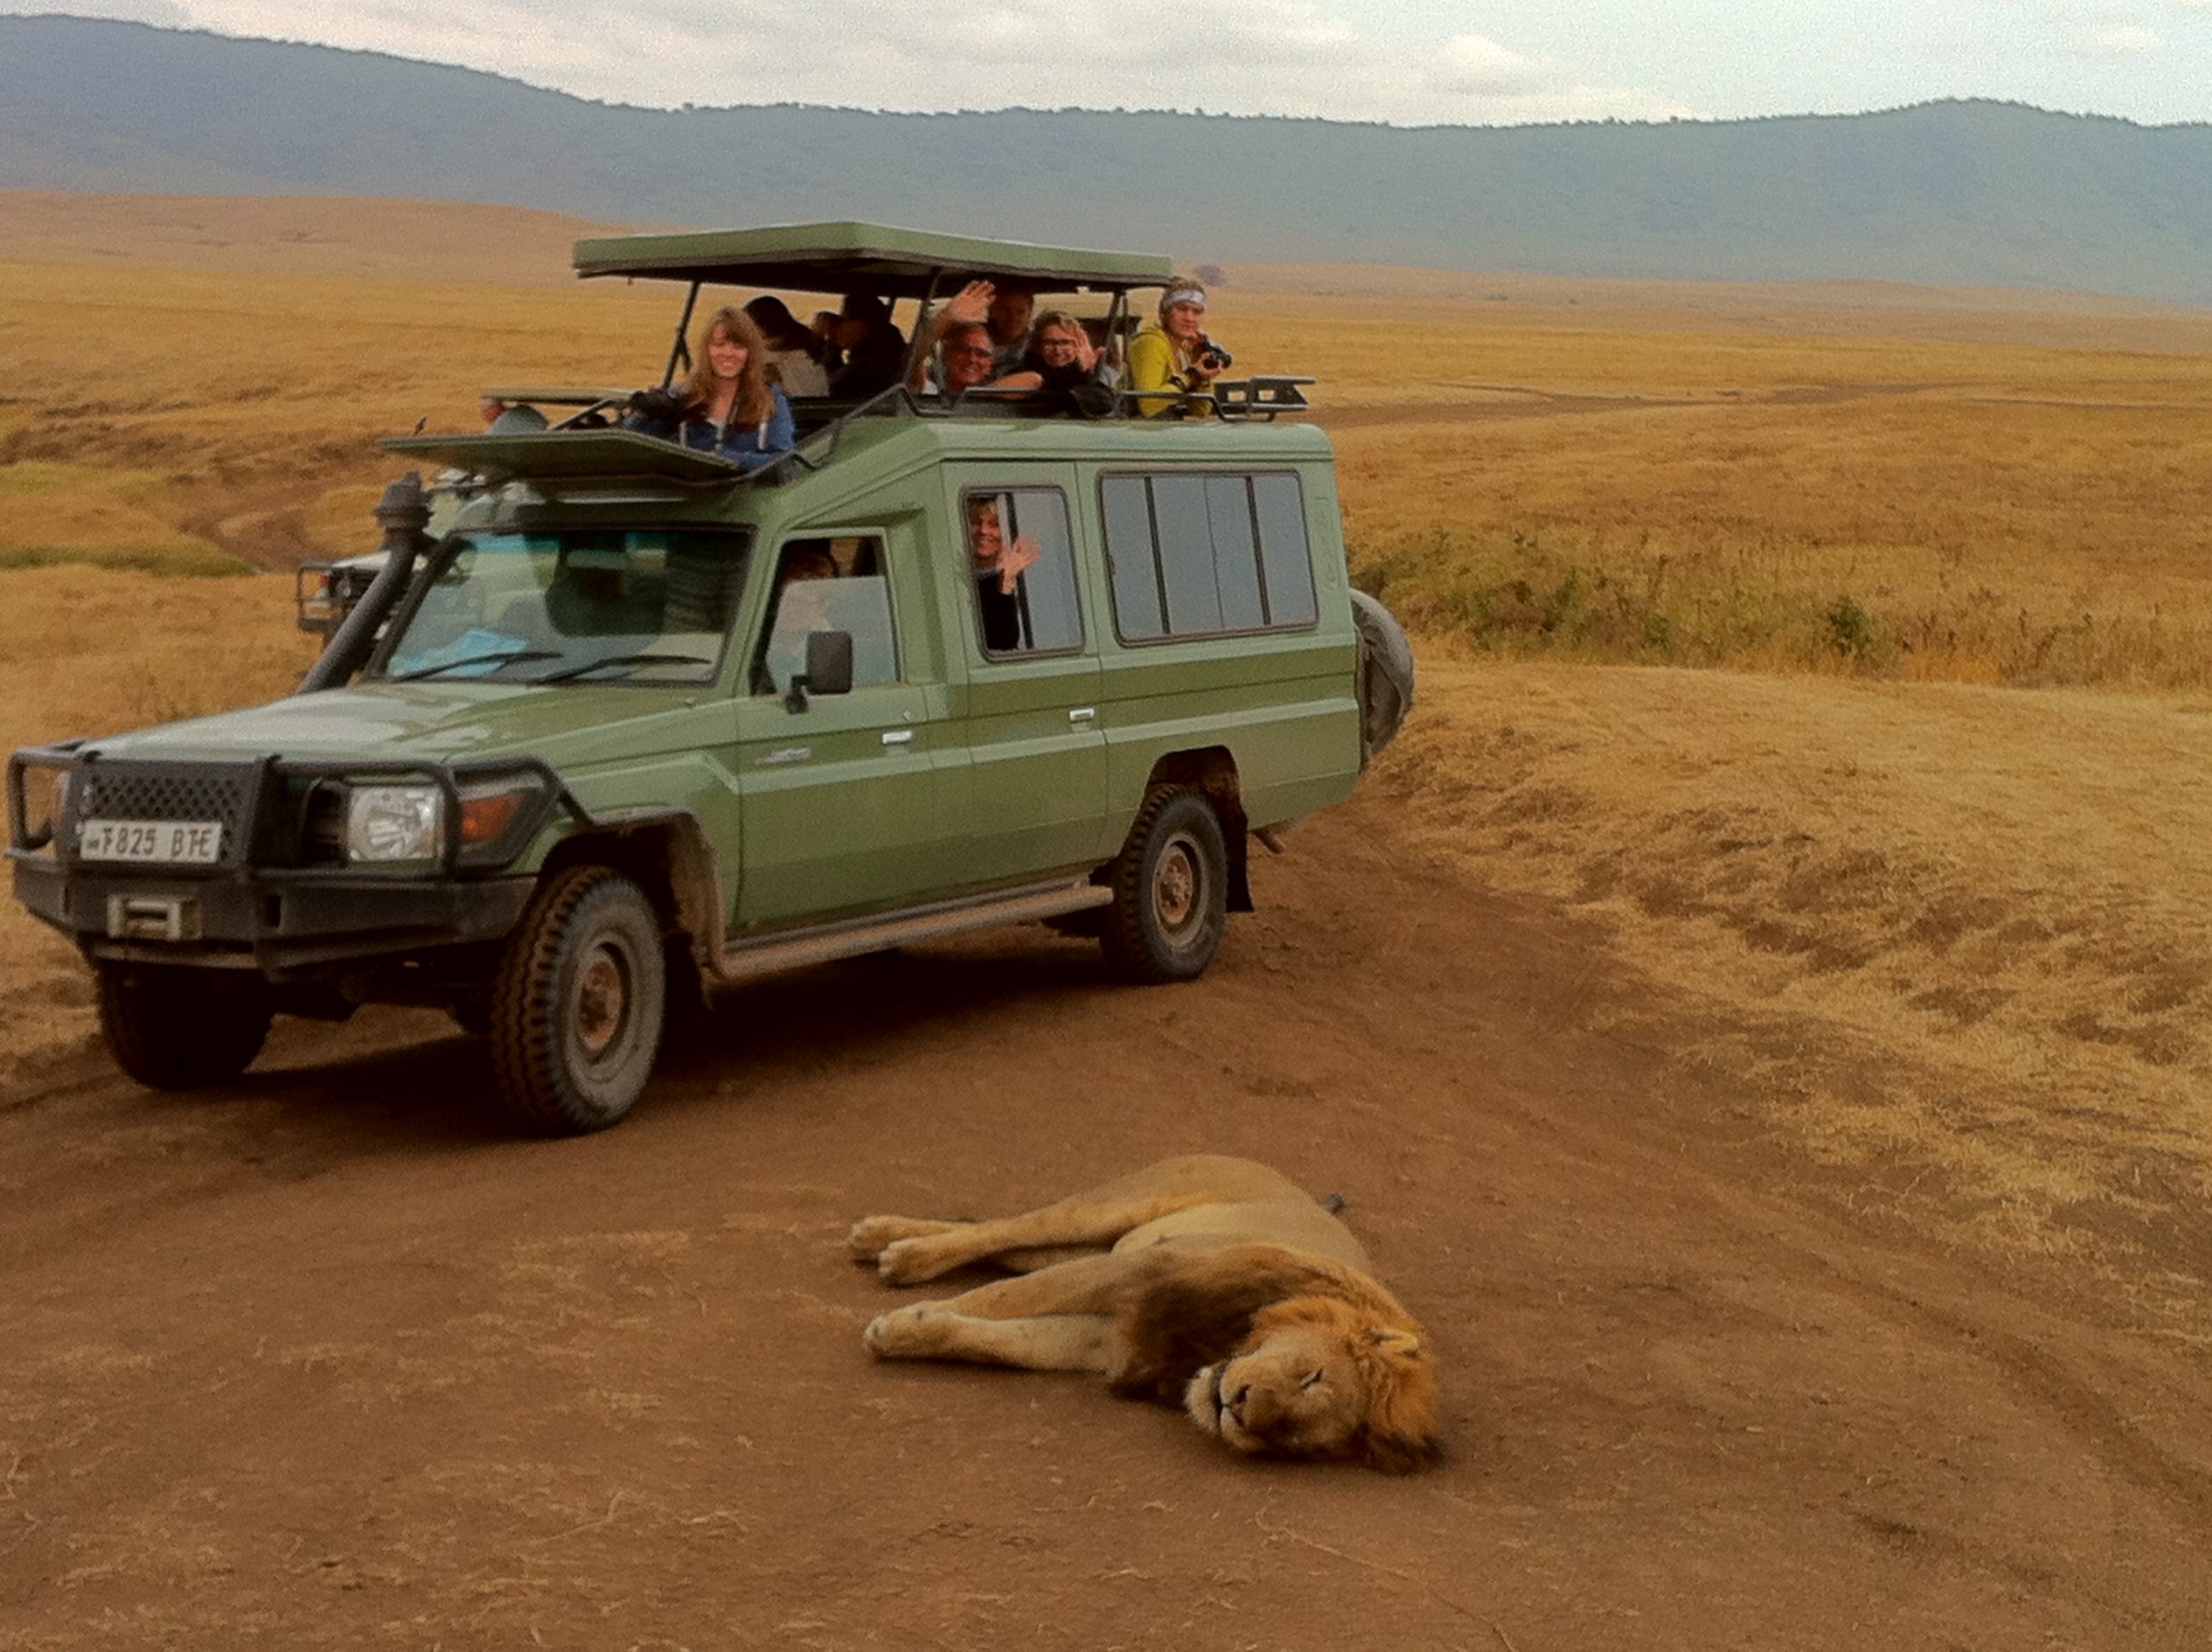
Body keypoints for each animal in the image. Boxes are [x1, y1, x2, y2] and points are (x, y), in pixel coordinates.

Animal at [840, 1149, 1433, 1477]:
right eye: (1312, 1376)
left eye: (1291, 1438)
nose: (1237, 1409)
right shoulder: (1139, 1270)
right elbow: (1002, 1299)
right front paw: (895, 1323)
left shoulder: (1107, 1340)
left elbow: (1001, 1340)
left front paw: (905, 1331)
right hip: (1111, 1212)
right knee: (1005, 1229)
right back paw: (894, 1251)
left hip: (1086, 1243)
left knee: (1000, 1243)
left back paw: (885, 1240)